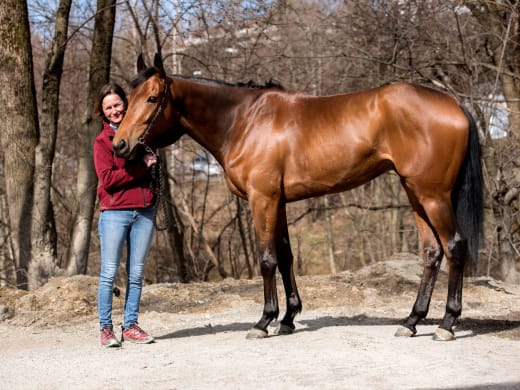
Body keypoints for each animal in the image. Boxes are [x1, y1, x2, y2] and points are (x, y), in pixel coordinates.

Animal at [112, 54, 484, 342]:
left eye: (152, 98)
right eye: (129, 98)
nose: (120, 145)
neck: (244, 120)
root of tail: (455, 104)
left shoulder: (262, 199)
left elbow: (267, 259)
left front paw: (264, 321)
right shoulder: (278, 202)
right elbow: (286, 257)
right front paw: (288, 319)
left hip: (433, 195)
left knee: (455, 246)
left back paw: (447, 324)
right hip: (415, 193)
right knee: (432, 252)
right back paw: (411, 322)